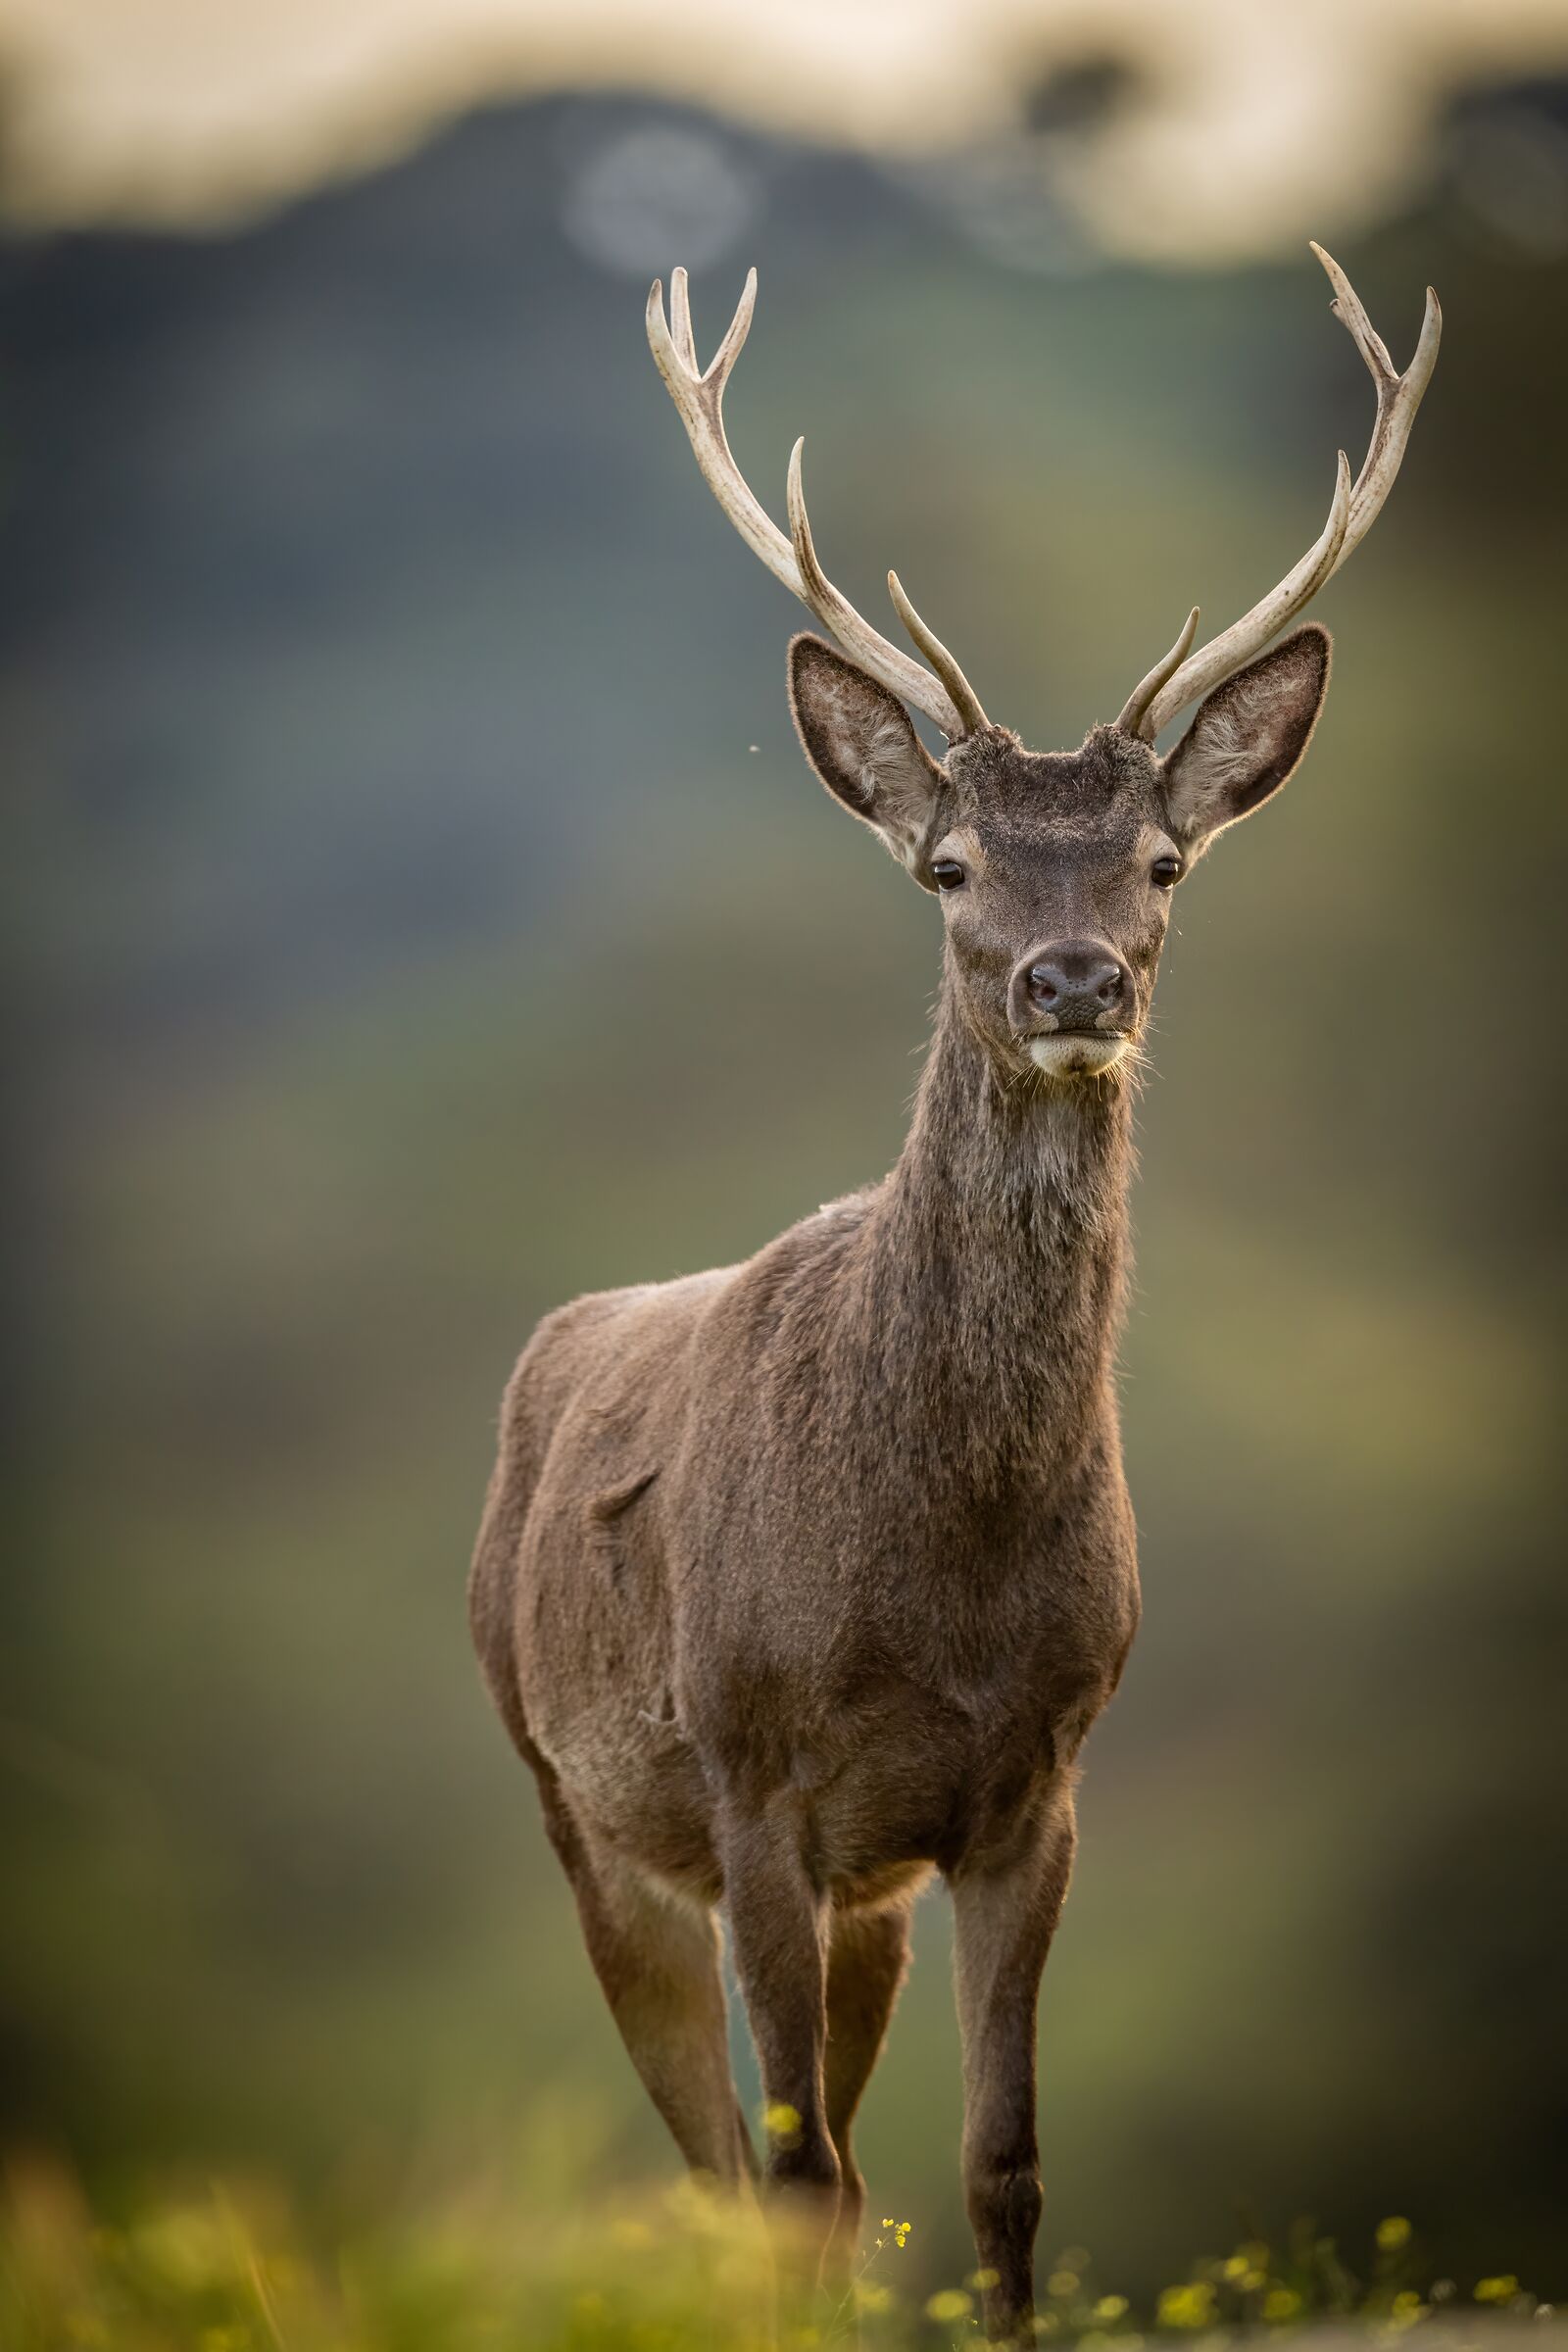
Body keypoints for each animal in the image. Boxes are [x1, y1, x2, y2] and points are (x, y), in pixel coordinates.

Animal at [468, 243, 1439, 2342]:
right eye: (950, 865)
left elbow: (999, 2170)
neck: (943, 1561)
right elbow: (795, 2177)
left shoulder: (1031, 1783)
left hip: (863, 1897)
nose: (1073, 978)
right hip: (577, 1801)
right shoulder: (754, 1770)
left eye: (1163, 859)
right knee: (724, 2167)